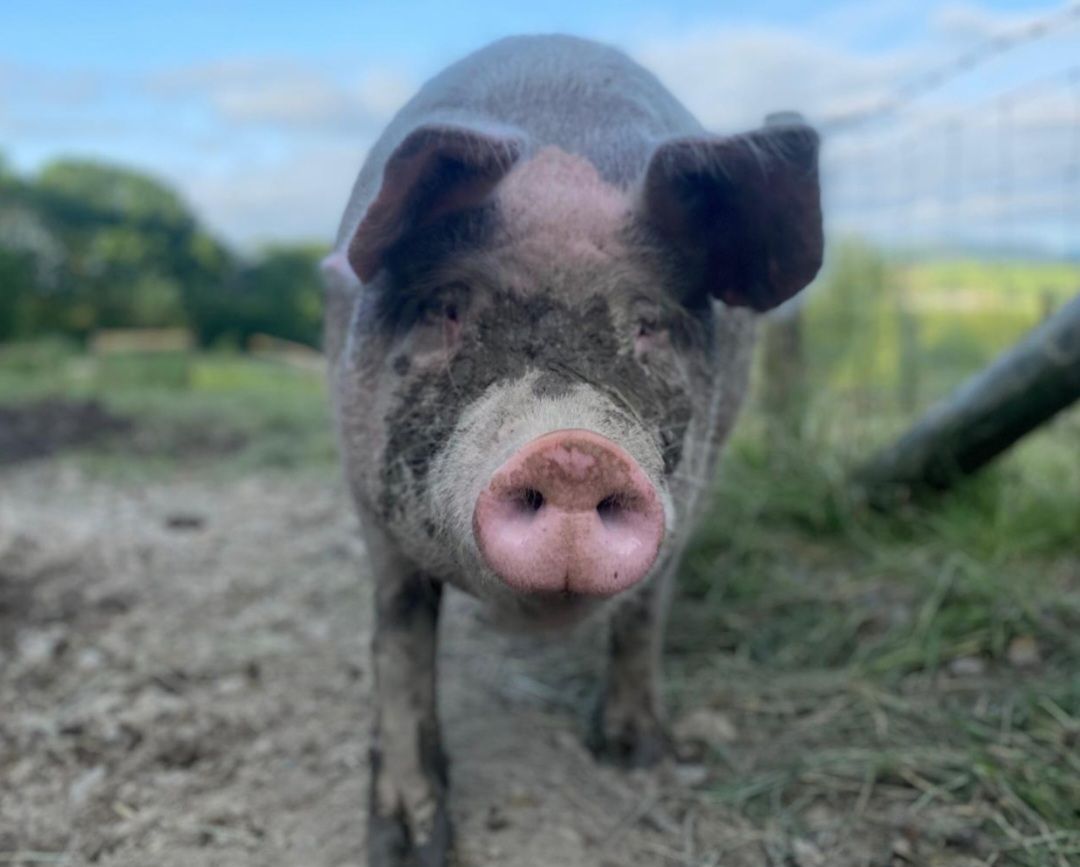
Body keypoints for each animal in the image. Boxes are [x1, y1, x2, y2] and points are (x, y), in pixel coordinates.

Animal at [322, 33, 823, 866]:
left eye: (649, 324)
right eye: (448, 308)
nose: (574, 453)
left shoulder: (694, 495)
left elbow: (645, 611)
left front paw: (638, 755)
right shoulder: (365, 491)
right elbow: (398, 638)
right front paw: (408, 842)